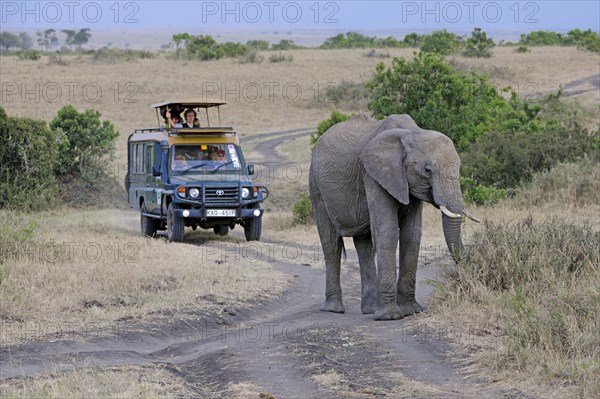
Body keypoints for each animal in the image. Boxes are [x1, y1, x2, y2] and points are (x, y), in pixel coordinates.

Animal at [310, 114, 478, 320]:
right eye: (428, 170)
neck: (414, 132)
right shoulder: (373, 175)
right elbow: (388, 231)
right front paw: (389, 317)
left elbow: (412, 234)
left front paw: (411, 311)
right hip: (316, 186)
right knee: (331, 244)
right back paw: (334, 309)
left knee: (365, 246)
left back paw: (370, 309)